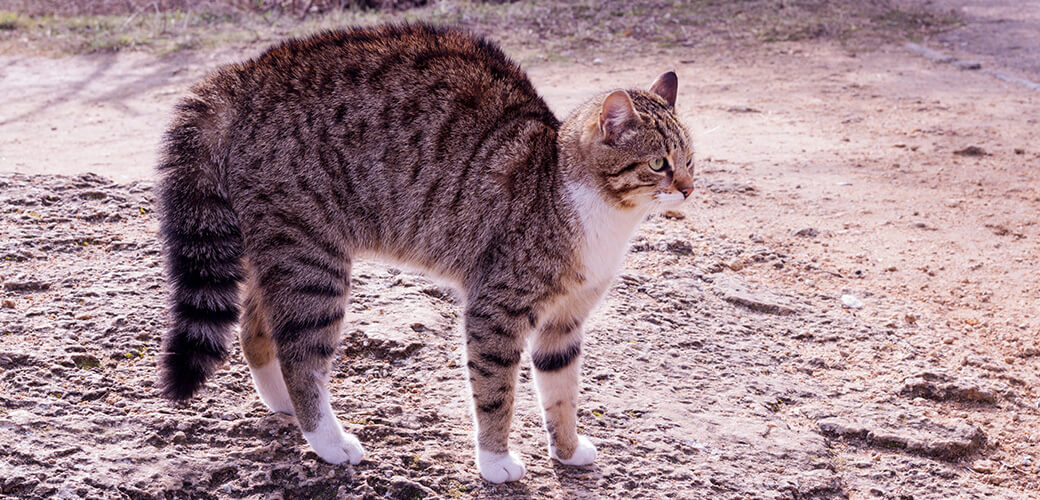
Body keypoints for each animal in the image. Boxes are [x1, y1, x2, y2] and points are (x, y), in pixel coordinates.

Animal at [158, 23, 694, 482]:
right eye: (658, 164)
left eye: (690, 159)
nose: (688, 189)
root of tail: (247, 73)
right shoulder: (496, 309)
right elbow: (496, 391)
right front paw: (495, 460)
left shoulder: (566, 319)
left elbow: (561, 391)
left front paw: (565, 449)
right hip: (311, 258)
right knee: (300, 356)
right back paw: (328, 440)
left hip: (275, 245)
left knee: (254, 331)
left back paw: (285, 403)